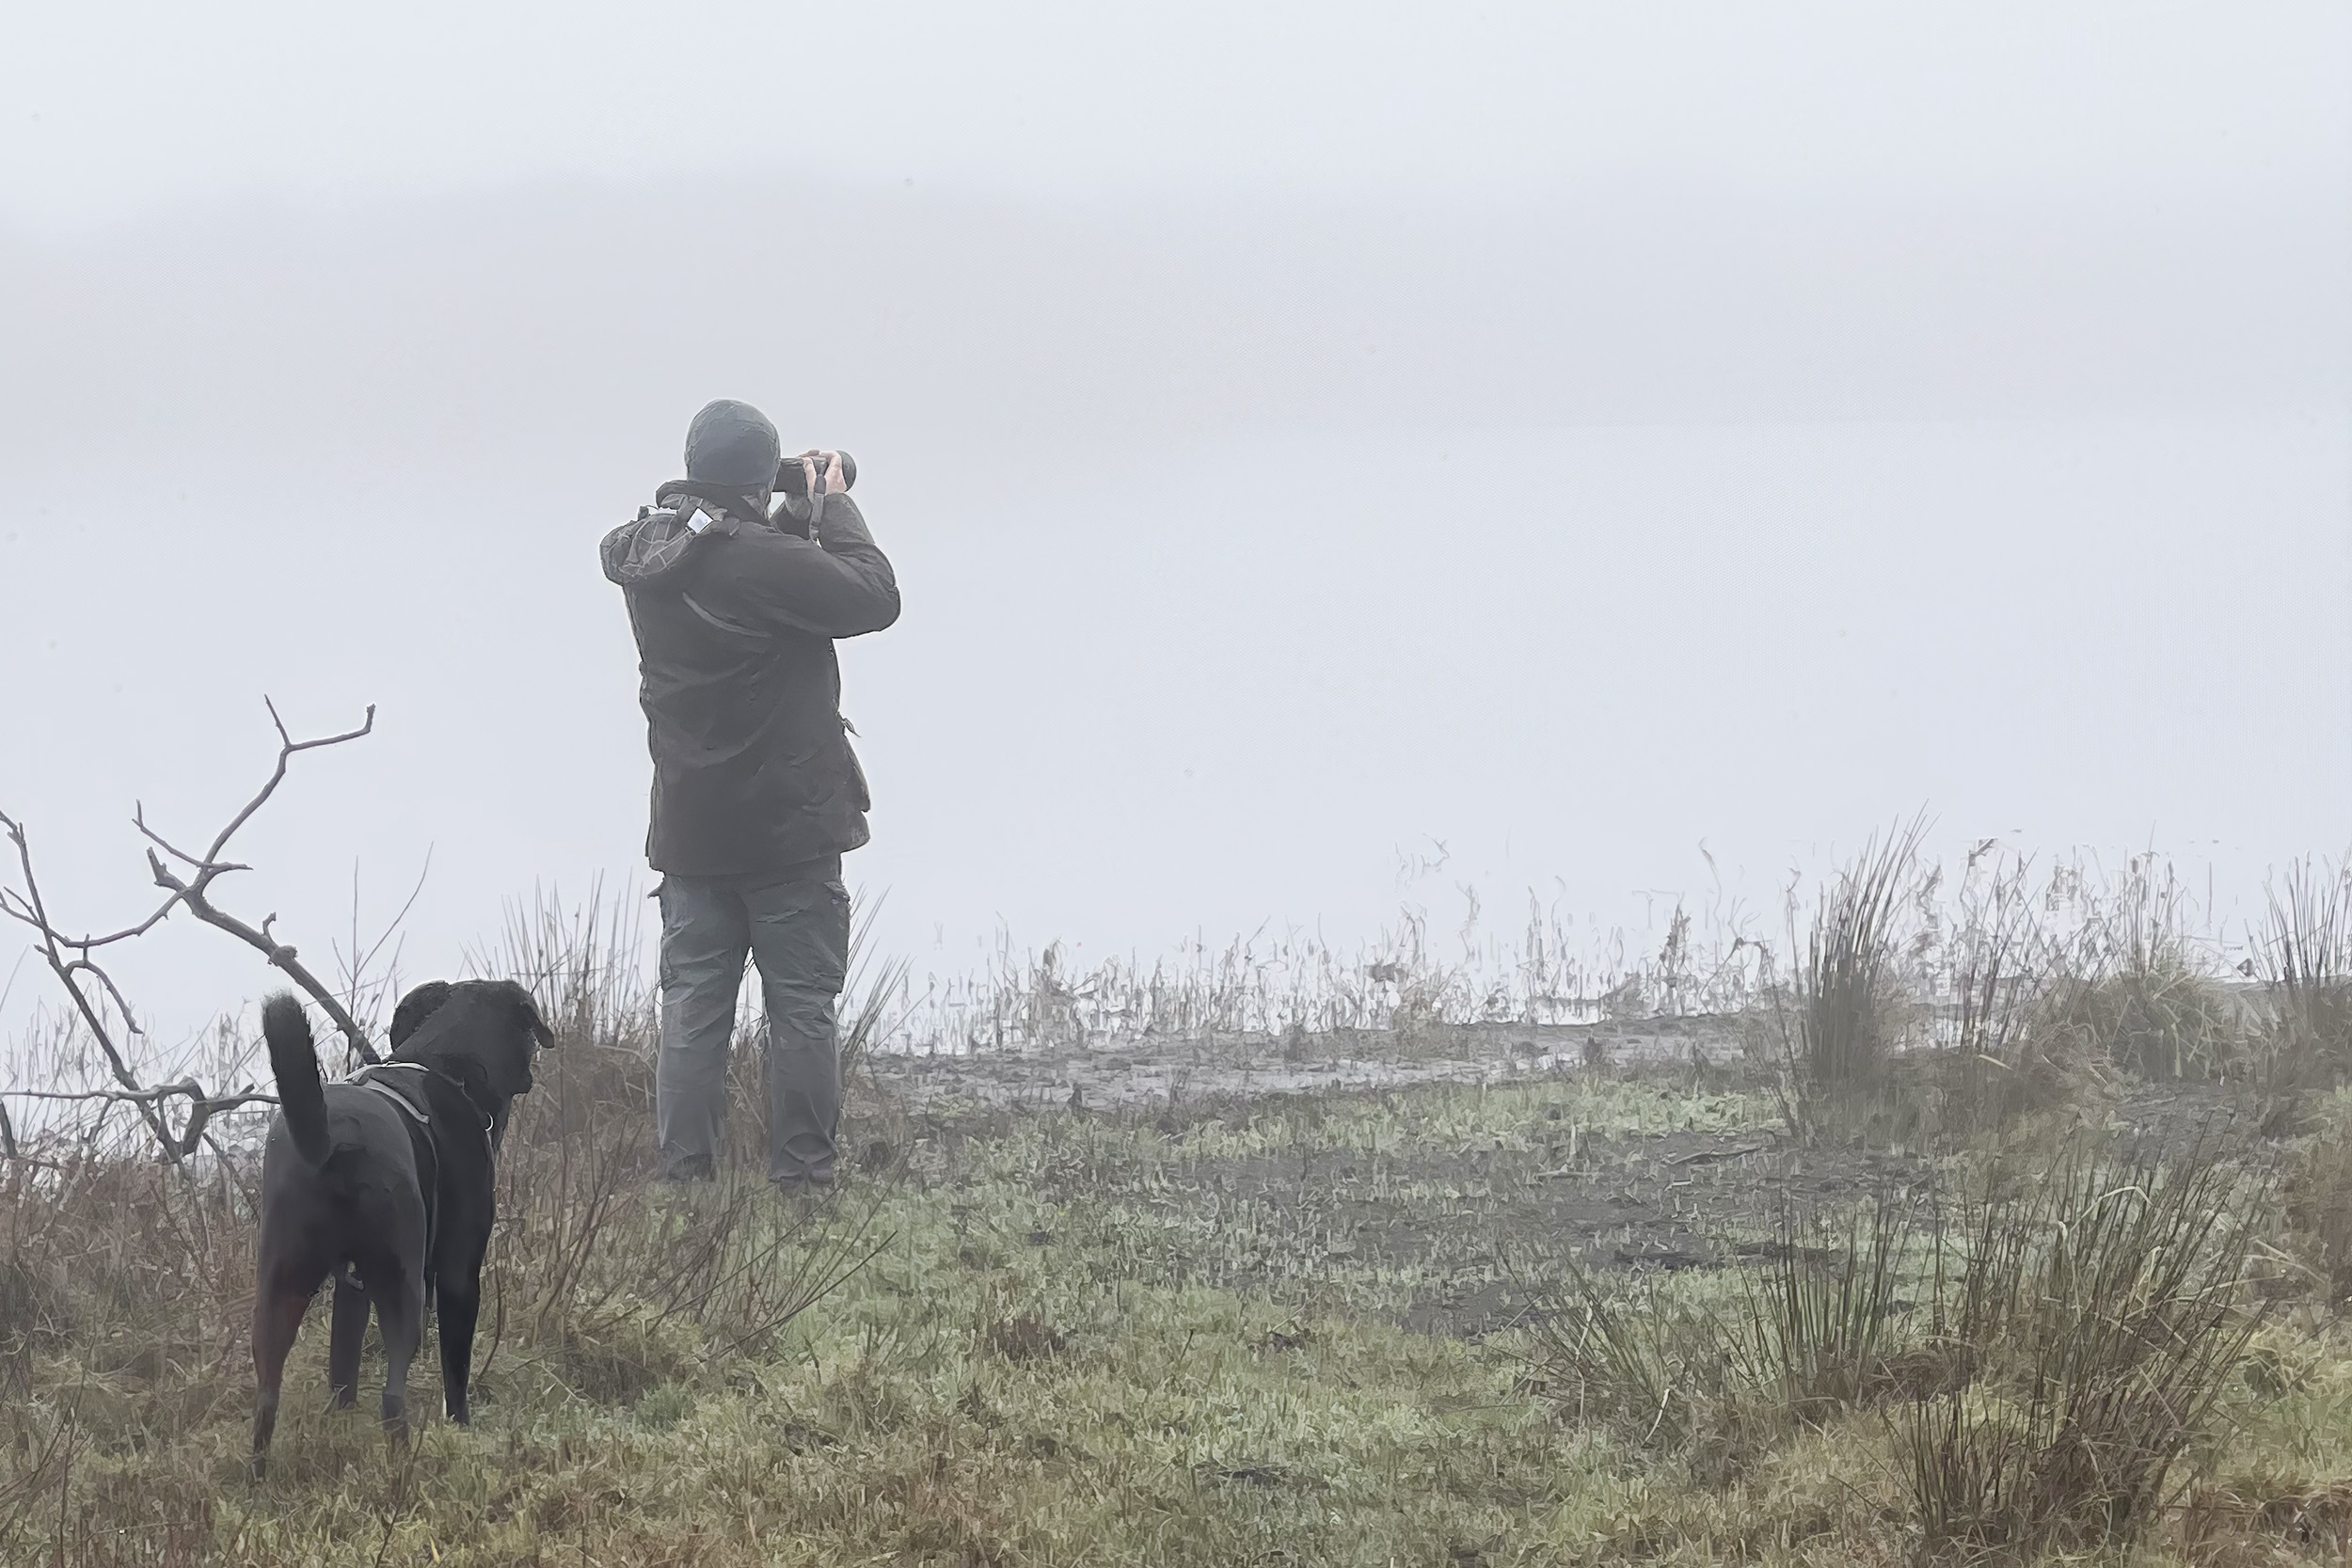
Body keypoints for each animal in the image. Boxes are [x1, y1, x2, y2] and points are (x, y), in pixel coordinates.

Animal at [254, 973, 550, 1476]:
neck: (446, 1066)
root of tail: (337, 1137)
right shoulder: (457, 1275)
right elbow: (456, 1370)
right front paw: (461, 1429)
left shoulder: (352, 1287)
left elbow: (343, 1362)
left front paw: (341, 1420)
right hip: (403, 1288)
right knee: (393, 1398)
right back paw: (403, 1465)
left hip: (280, 1287)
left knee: (267, 1396)